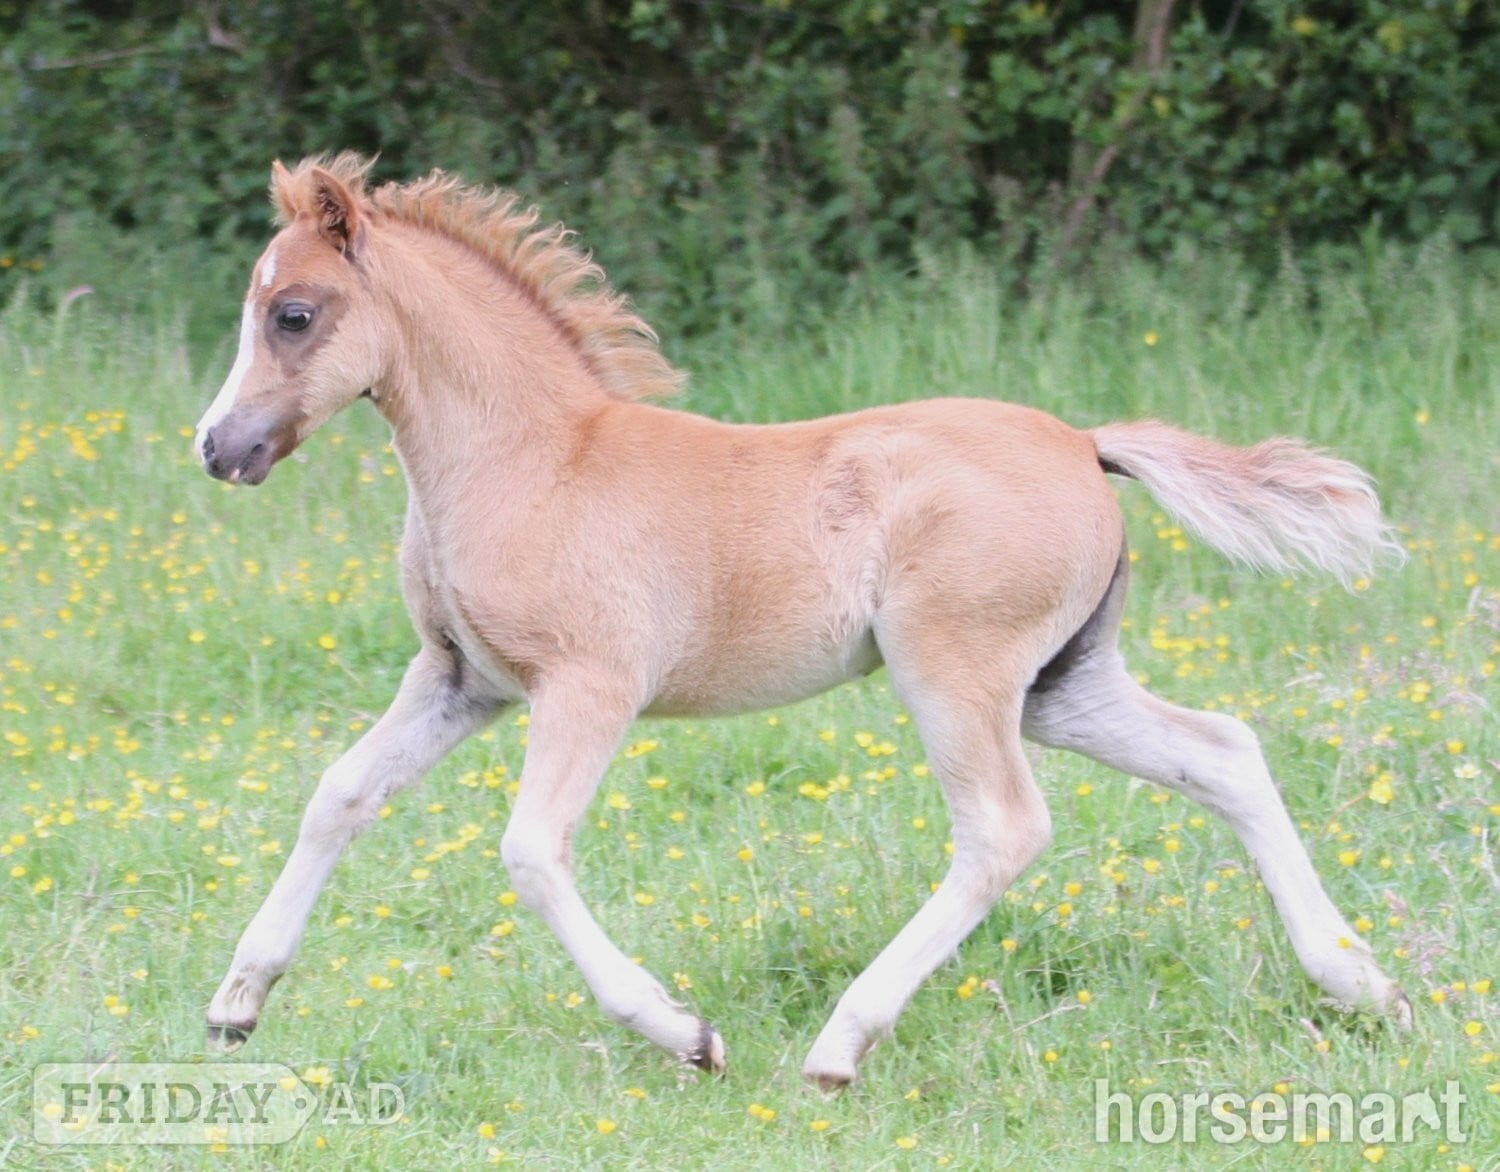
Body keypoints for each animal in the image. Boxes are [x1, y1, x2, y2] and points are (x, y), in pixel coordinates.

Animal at [194, 154, 1409, 1089]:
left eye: (293, 313)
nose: (218, 446)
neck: (531, 458)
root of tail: (1082, 440)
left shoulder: (588, 685)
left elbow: (531, 852)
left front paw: (685, 1033)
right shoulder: (461, 678)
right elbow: (339, 793)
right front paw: (235, 1005)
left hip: (954, 670)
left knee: (1004, 829)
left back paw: (839, 1044)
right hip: (1063, 683)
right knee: (1225, 754)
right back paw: (1363, 984)